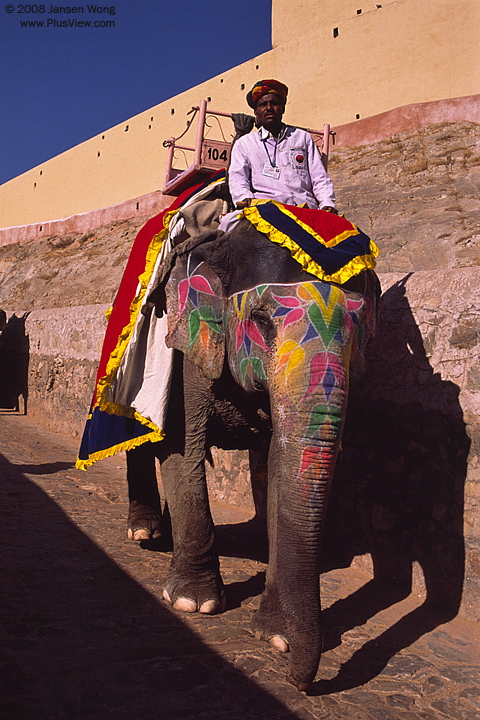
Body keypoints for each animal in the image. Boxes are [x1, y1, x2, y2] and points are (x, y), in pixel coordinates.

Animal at [126, 217, 379, 690]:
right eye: (260, 320)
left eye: (360, 332)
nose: (299, 682)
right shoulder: (187, 347)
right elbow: (182, 446)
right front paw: (194, 603)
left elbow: (281, 466)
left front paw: (275, 635)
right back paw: (144, 533)